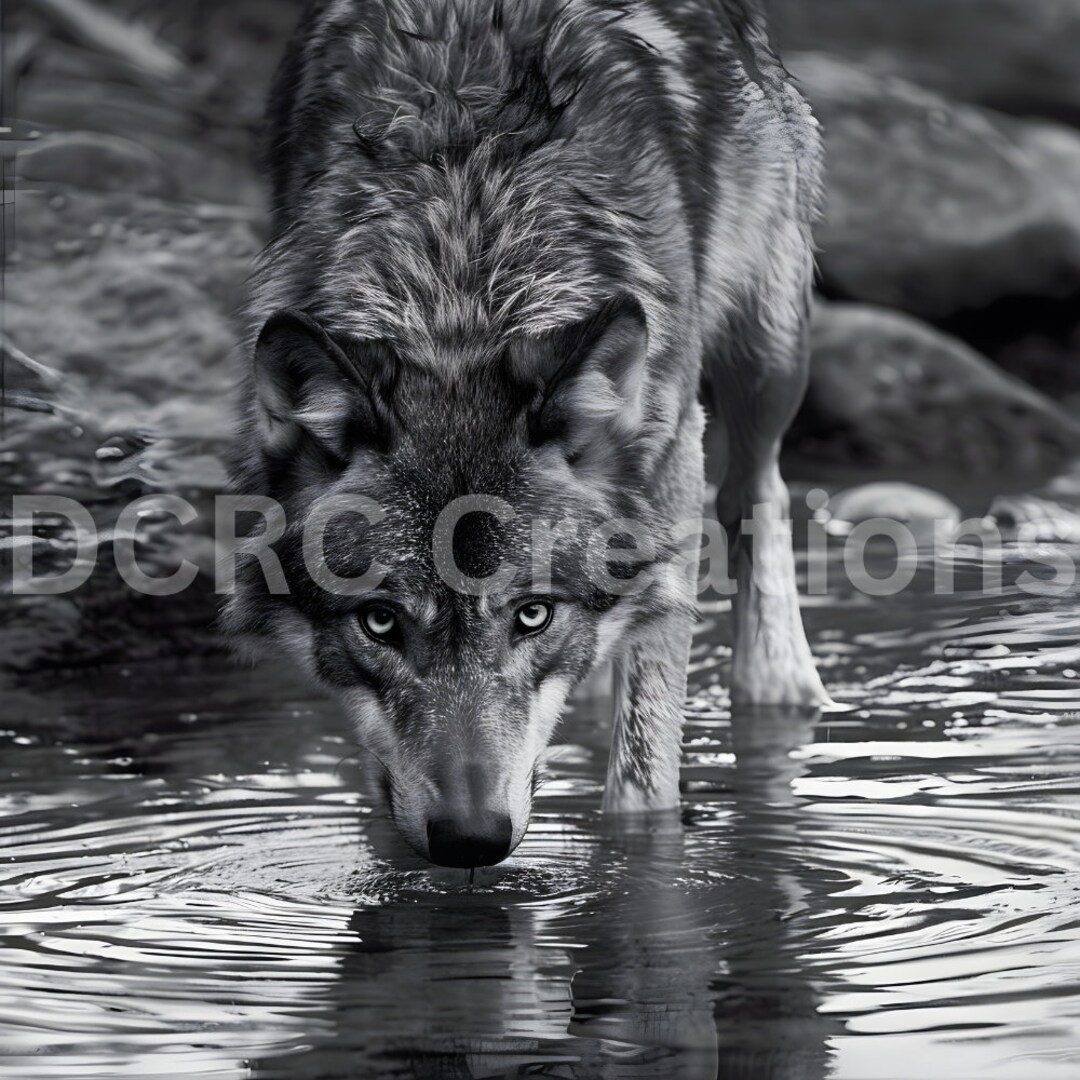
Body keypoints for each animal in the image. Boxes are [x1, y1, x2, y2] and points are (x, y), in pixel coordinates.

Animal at [226, 0, 828, 868]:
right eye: (380, 621)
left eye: (532, 614)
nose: (471, 840)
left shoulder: (672, 459)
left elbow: (642, 776)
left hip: (766, 351)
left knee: (759, 489)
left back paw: (779, 681)